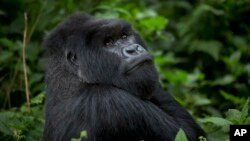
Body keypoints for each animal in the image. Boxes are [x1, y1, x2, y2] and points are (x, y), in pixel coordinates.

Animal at [43, 12, 205, 140]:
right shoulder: (112, 102)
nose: (133, 49)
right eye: (108, 42)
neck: (74, 79)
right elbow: (188, 134)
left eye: (124, 36)